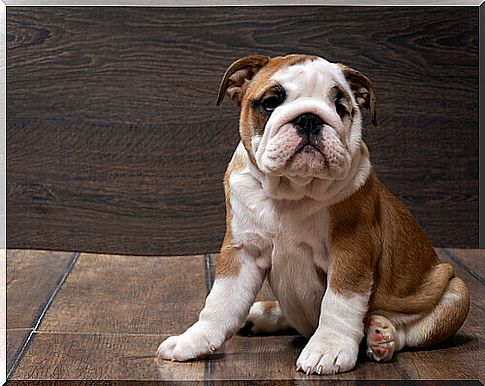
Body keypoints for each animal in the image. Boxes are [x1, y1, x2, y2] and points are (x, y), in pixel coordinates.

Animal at [158, 54, 468, 374]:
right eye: (271, 102)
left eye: (340, 107)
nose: (309, 118)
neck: (292, 191)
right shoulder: (243, 250)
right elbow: (220, 301)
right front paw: (193, 338)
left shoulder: (350, 251)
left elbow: (339, 302)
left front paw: (327, 349)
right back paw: (263, 313)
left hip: (456, 292)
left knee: (413, 331)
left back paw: (382, 336)